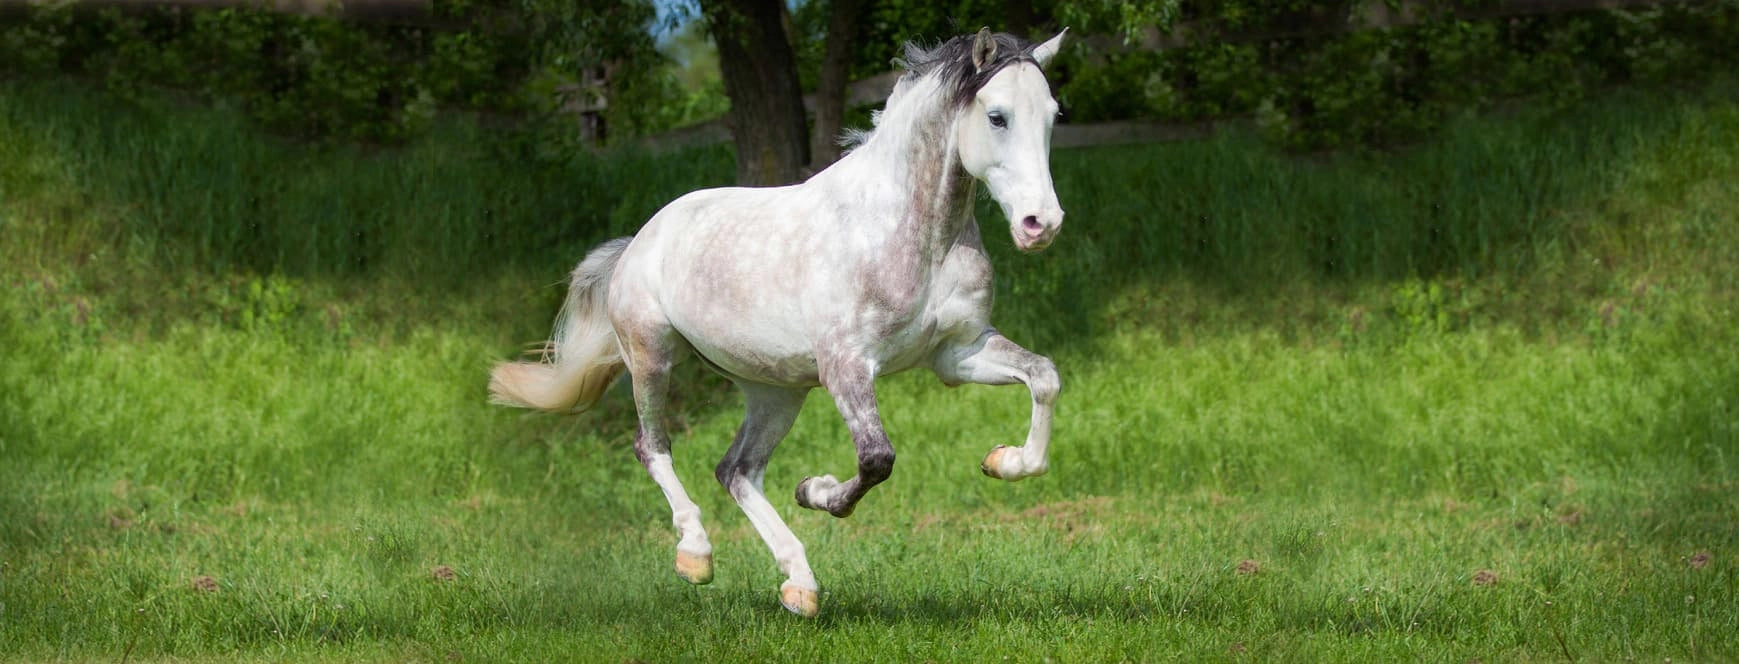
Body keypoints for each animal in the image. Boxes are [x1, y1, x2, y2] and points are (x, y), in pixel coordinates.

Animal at [489, 27, 1068, 618]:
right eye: (996, 116)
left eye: (1053, 114)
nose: (1041, 224)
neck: (915, 236)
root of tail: (639, 240)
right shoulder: (846, 367)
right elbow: (877, 459)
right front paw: (815, 490)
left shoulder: (956, 353)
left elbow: (1044, 377)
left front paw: (1003, 462)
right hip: (652, 356)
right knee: (653, 447)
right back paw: (696, 555)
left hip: (776, 391)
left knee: (736, 471)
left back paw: (800, 584)